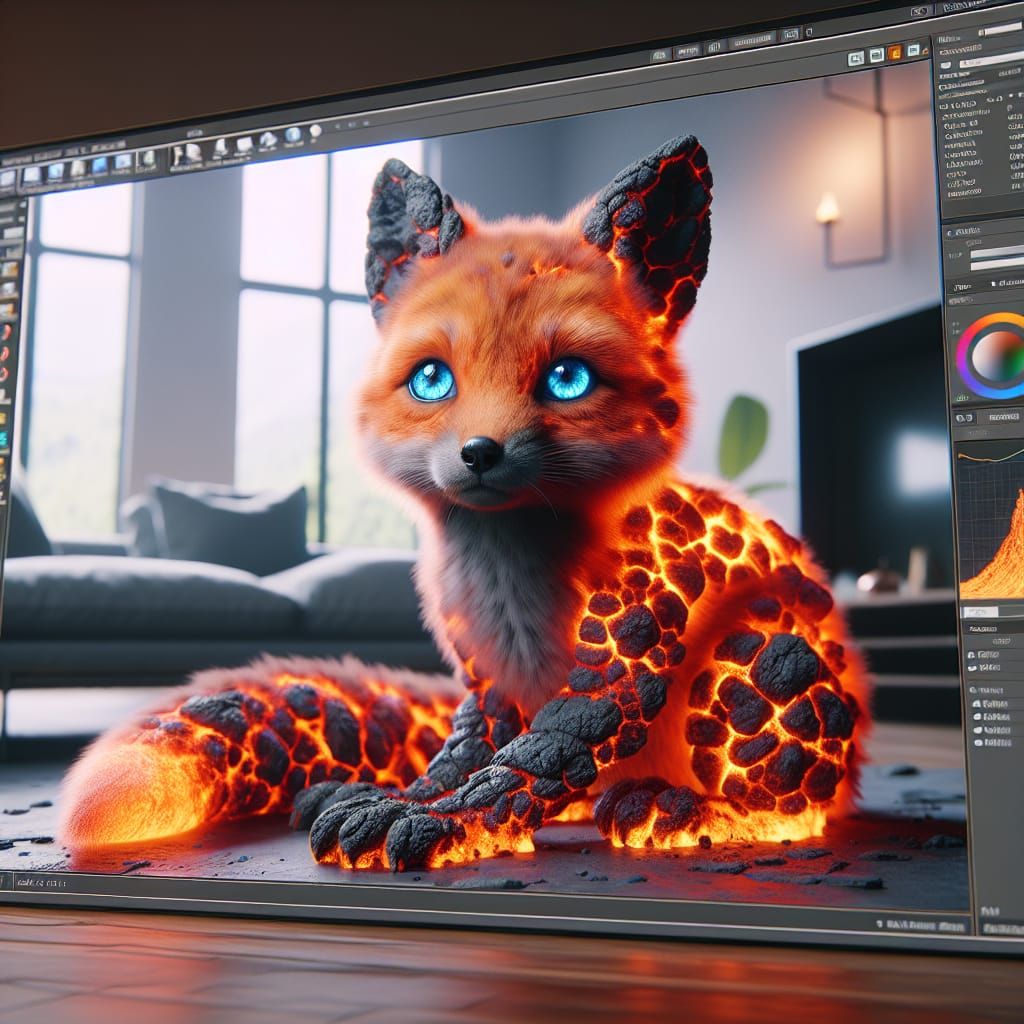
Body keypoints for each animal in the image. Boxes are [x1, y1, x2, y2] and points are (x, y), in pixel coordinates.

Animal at [60, 135, 869, 872]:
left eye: (568, 379)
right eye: (431, 379)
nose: (481, 452)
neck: (507, 579)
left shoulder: (618, 665)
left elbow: (528, 764)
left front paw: (439, 824)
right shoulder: (487, 681)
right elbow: (461, 758)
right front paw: (398, 800)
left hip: (758, 647)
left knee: (798, 804)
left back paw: (683, 809)